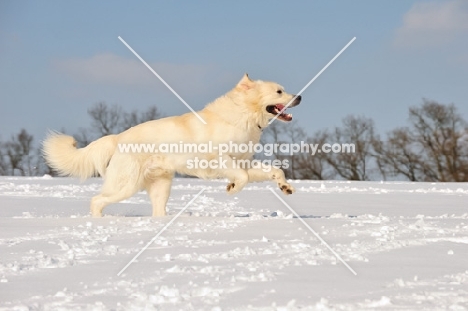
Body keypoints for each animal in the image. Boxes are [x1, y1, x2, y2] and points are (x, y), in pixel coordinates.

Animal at [43, 74, 300, 218]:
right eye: (279, 91)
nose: (299, 97)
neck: (243, 116)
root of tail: (118, 137)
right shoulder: (219, 159)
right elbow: (242, 178)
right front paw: (232, 188)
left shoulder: (243, 162)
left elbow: (274, 170)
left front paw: (285, 187)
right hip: (126, 186)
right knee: (97, 201)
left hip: (161, 186)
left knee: (157, 212)